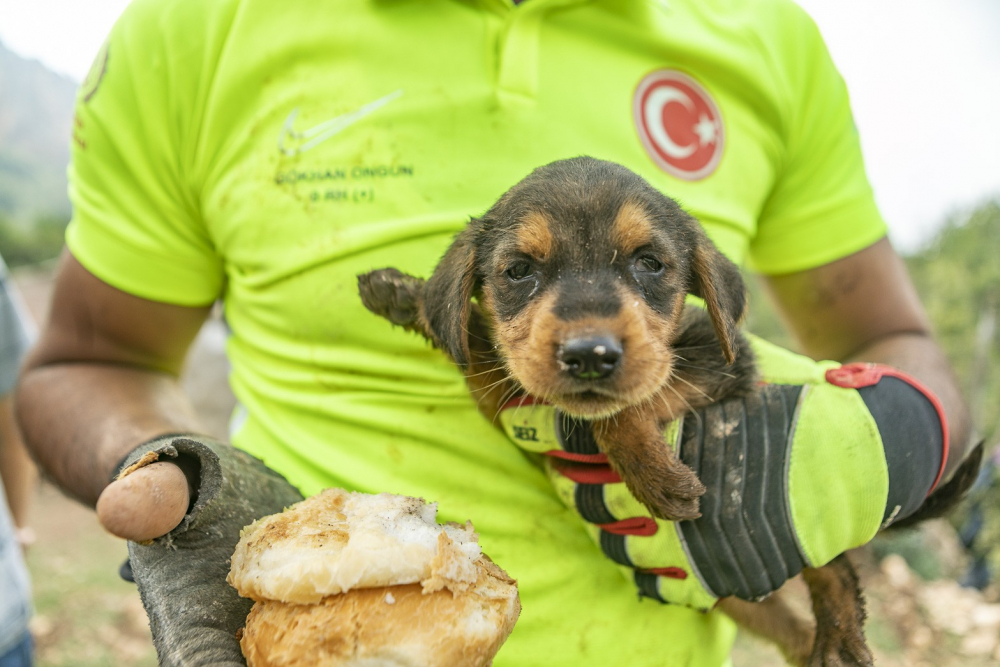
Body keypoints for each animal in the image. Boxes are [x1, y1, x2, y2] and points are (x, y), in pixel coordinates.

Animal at [358, 158, 976, 667]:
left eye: (650, 263)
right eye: (518, 271)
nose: (590, 354)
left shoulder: (719, 364)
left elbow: (628, 399)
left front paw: (655, 475)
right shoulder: (508, 392)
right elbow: (481, 342)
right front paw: (403, 295)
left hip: (804, 528)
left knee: (834, 564)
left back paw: (842, 634)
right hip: (738, 598)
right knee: (793, 627)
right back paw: (818, 645)